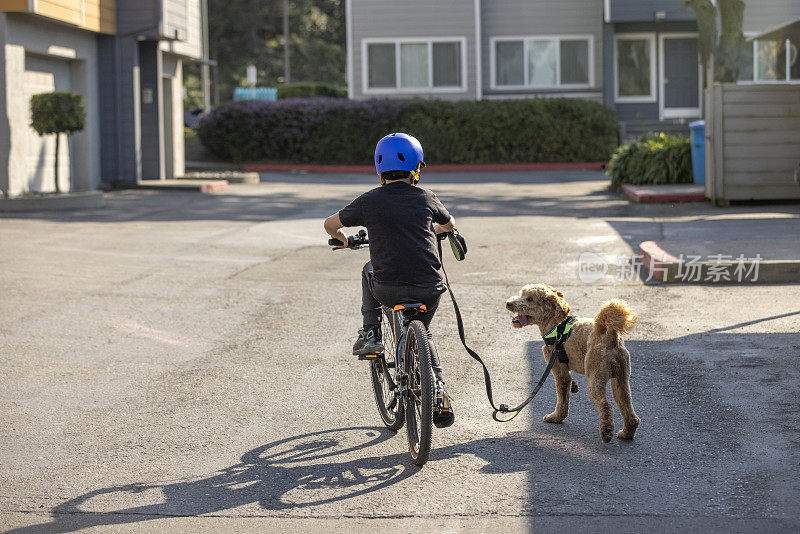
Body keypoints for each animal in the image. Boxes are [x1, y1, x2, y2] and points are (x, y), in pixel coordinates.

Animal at [506, 284, 636, 444]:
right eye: (522, 293)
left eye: (530, 299)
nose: (509, 303)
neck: (556, 325)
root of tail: (609, 335)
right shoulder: (565, 370)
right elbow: (568, 385)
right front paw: (573, 387)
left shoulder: (558, 370)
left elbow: (562, 399)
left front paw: (555, 417)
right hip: (621, 379)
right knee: (628, 408)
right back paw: (626, 433)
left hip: (595, 377)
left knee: (606, 405)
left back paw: (606, 432)